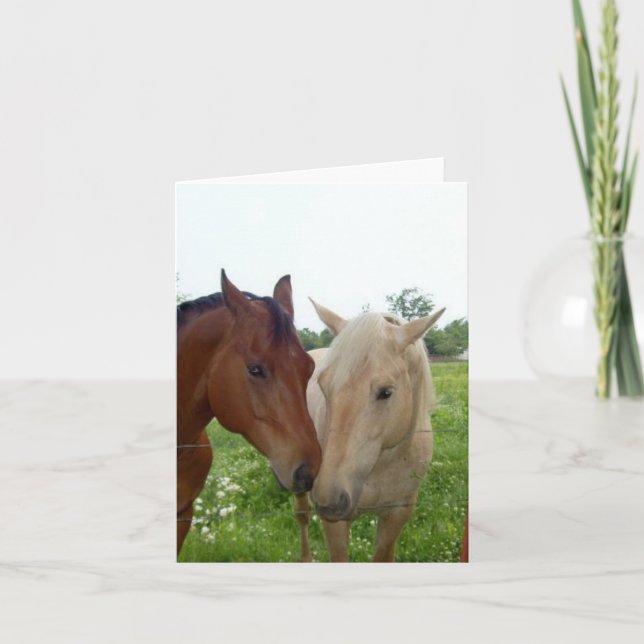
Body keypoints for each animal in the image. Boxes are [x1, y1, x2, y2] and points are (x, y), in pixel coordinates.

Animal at [295, 300, 444, 562]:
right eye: (323, 385)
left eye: (386, 392)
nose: (328, 500)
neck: (382, 464)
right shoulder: (335, 525)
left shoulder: (398, 513)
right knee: (302, 514)